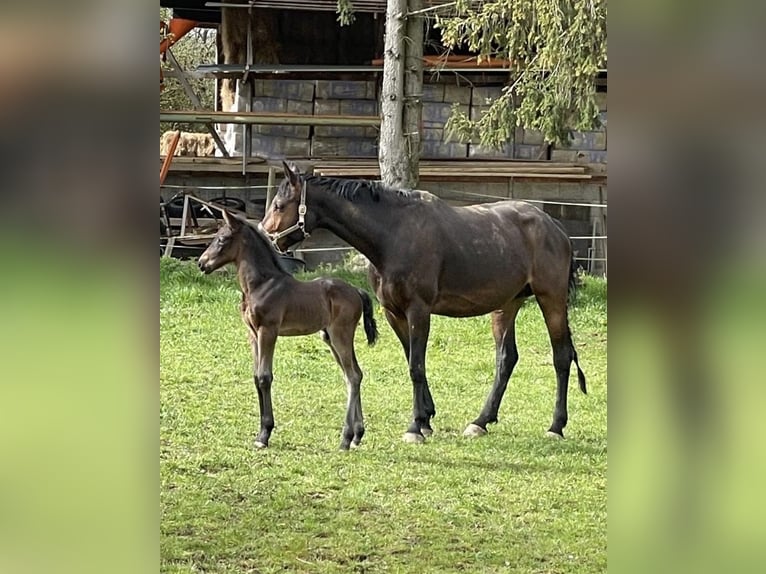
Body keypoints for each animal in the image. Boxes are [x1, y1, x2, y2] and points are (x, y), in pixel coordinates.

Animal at [198, 210, 378, 450]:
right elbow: (255, 377)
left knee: (353, 376)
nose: (201, 263)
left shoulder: (268, 331)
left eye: (222, 239)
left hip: (341, 334)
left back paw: (346, 438)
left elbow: (264, 377)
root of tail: (357, 291)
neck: (261, 285)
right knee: (352, 375)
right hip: (330, 338)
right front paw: (261, 432)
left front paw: (264, 435)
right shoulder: (252, 334)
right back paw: (357, 435)